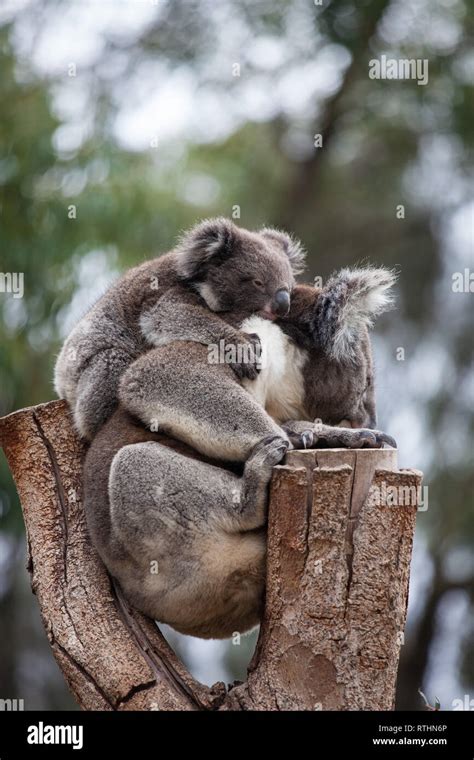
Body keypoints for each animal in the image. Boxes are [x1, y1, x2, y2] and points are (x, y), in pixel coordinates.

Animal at [52, 217, 304, 440]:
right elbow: (167, 317)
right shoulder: (166, 295)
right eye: (258, 282)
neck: (202, 283)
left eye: (289, 286)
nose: (283, 306)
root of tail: (59, 380)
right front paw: (243, 349)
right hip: (93, 368)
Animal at [84, 270, 396, 640]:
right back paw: (252, 490)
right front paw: (309, 438)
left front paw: (332, 435)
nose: (369, 419)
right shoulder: (242, 346)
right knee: (138, 465)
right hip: (154, 544)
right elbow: (156, 377)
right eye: (366, 384)